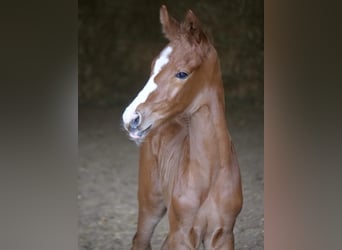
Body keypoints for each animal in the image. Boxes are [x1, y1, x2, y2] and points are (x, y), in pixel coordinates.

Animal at [121, 5, 242, 250]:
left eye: (182, 73)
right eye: (152, 67)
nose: (131, 118)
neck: (211, 176)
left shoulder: (223, 235)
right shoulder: (183, 233)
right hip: (151, 202)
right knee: (141, 239)